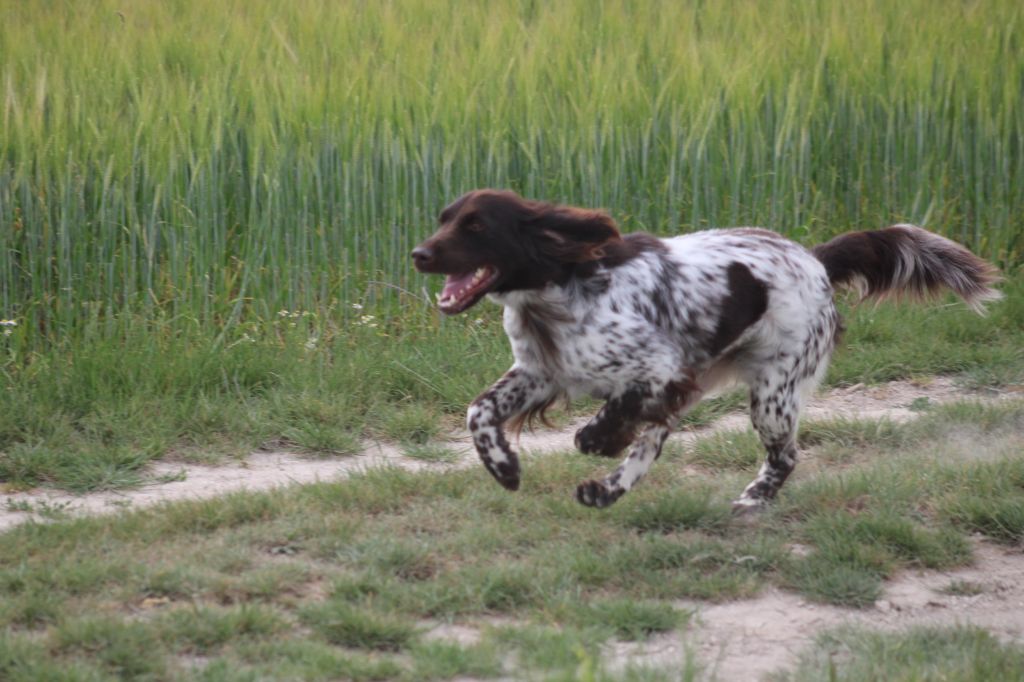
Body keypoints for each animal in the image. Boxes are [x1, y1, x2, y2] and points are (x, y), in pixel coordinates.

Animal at [409, 188, 999, 507]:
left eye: (477, 225)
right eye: (444, 219)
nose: (418, 253)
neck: (558, 289)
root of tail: (813, 259)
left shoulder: (663, 367)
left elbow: (613, 413)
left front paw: (596, 437)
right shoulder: (540, 371)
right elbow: (478, 412)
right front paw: (503, 467)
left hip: (774, 392)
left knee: (783, 455)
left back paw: (753, 499)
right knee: (655, 441)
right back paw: (607, 491)